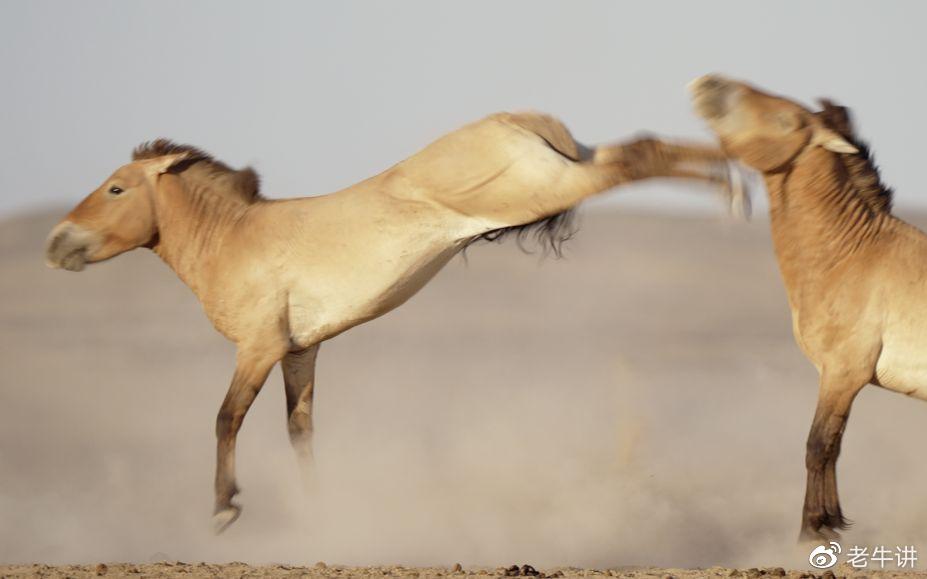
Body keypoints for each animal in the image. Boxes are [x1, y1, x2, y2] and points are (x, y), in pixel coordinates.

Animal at [45, 111, 742, 533]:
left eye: (115, 188)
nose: (57, 245)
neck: (235, 240)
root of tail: (511, 119)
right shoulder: (301, 351)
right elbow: (300, 431)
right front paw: (319, 515)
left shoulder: (258, 348)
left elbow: (226, 418)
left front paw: (224, 510)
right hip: (561, 173)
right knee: (638, 146)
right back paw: (736, 175)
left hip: (541, 189)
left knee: (639, 157)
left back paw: (736, 188)